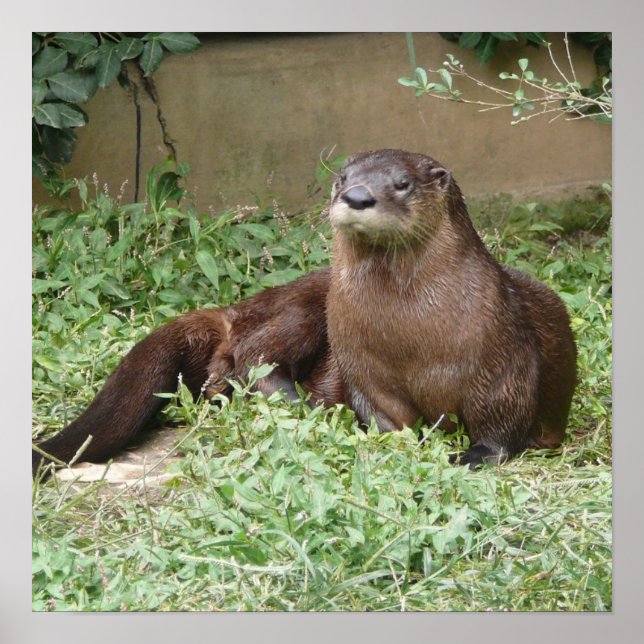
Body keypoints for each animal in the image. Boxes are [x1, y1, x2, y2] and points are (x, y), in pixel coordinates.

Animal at [32, 149, 576, 476]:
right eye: (342, 178)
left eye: (402, 183)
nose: (357, 196)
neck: (414, 335)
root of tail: (236, 310)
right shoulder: (365, 368)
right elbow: (384, 414)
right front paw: (396, 442)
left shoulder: (504, 358)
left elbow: (502, 420)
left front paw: (472, 455)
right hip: (304, 308)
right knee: (248, 358)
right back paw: (296, 402)